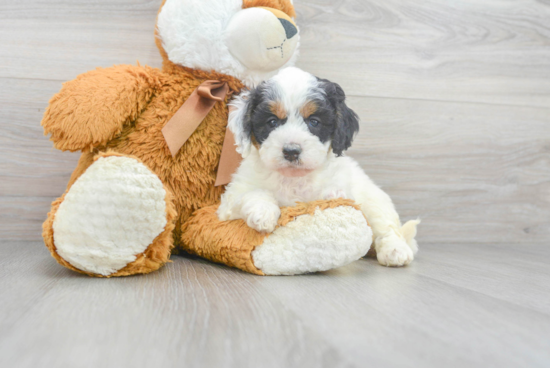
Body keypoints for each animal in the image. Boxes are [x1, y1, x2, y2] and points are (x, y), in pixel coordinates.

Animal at [218, 67, 420, 268]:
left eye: (313, 122)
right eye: (272, 122)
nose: (291, 151)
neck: (293, 178)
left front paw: (333, 195)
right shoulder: (228, 205)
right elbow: (252, 194)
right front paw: (263, 212)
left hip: (374, 199)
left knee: (387, 227)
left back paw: (395, 251)